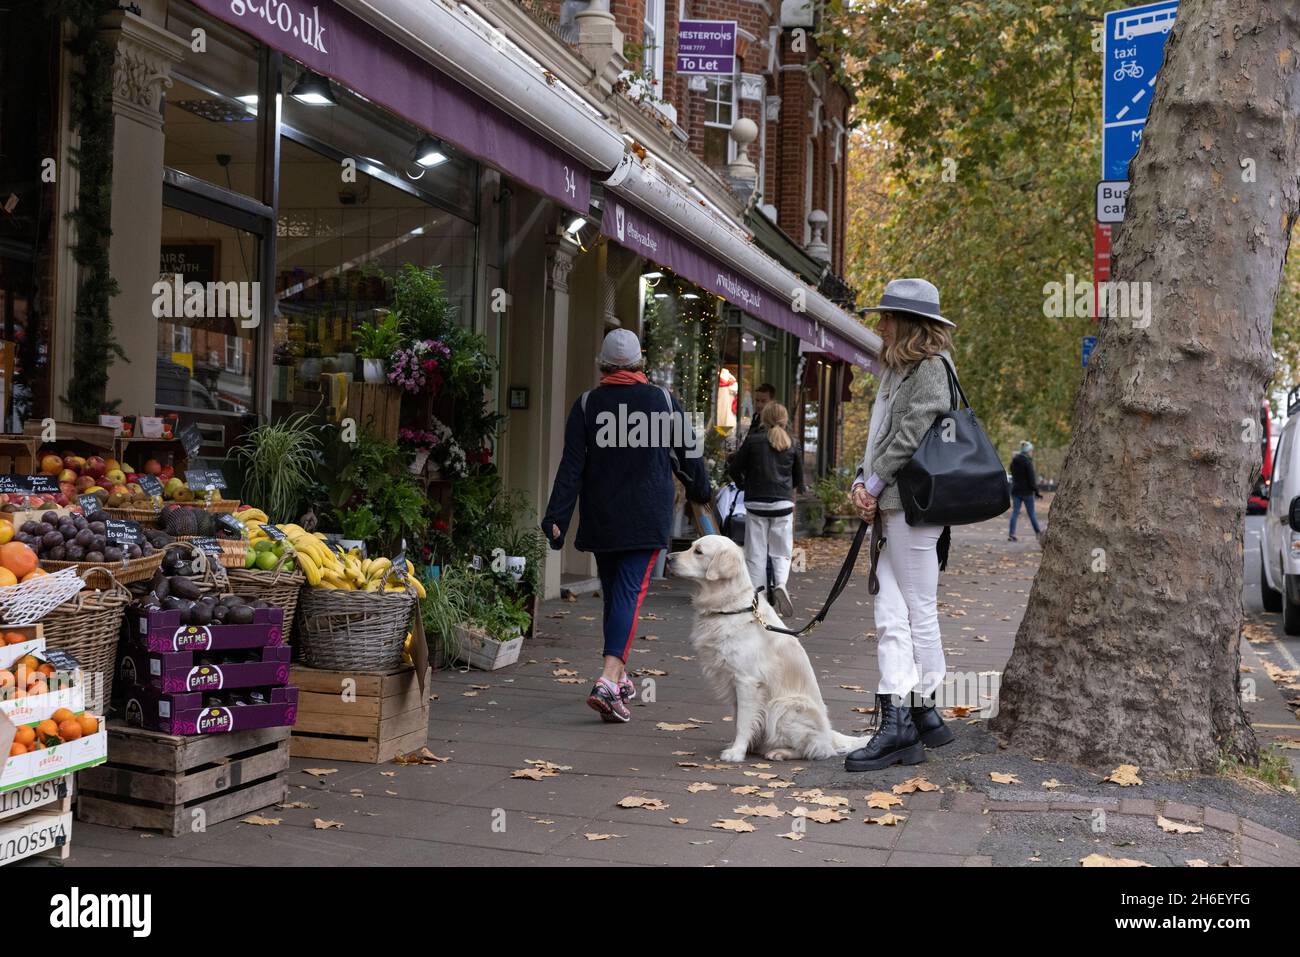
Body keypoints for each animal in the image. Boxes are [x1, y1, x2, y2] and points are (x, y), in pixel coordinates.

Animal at [665, 535, 868, 759]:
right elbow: (739, 719)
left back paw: (780, 752)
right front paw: (741, 746)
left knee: (814, 749)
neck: (730, 606)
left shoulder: (746, 680)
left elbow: (743, 722)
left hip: (783, 705)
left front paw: (736, 752)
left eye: (698, 552)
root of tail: (830, 735)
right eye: (691, 546)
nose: (668, 558)